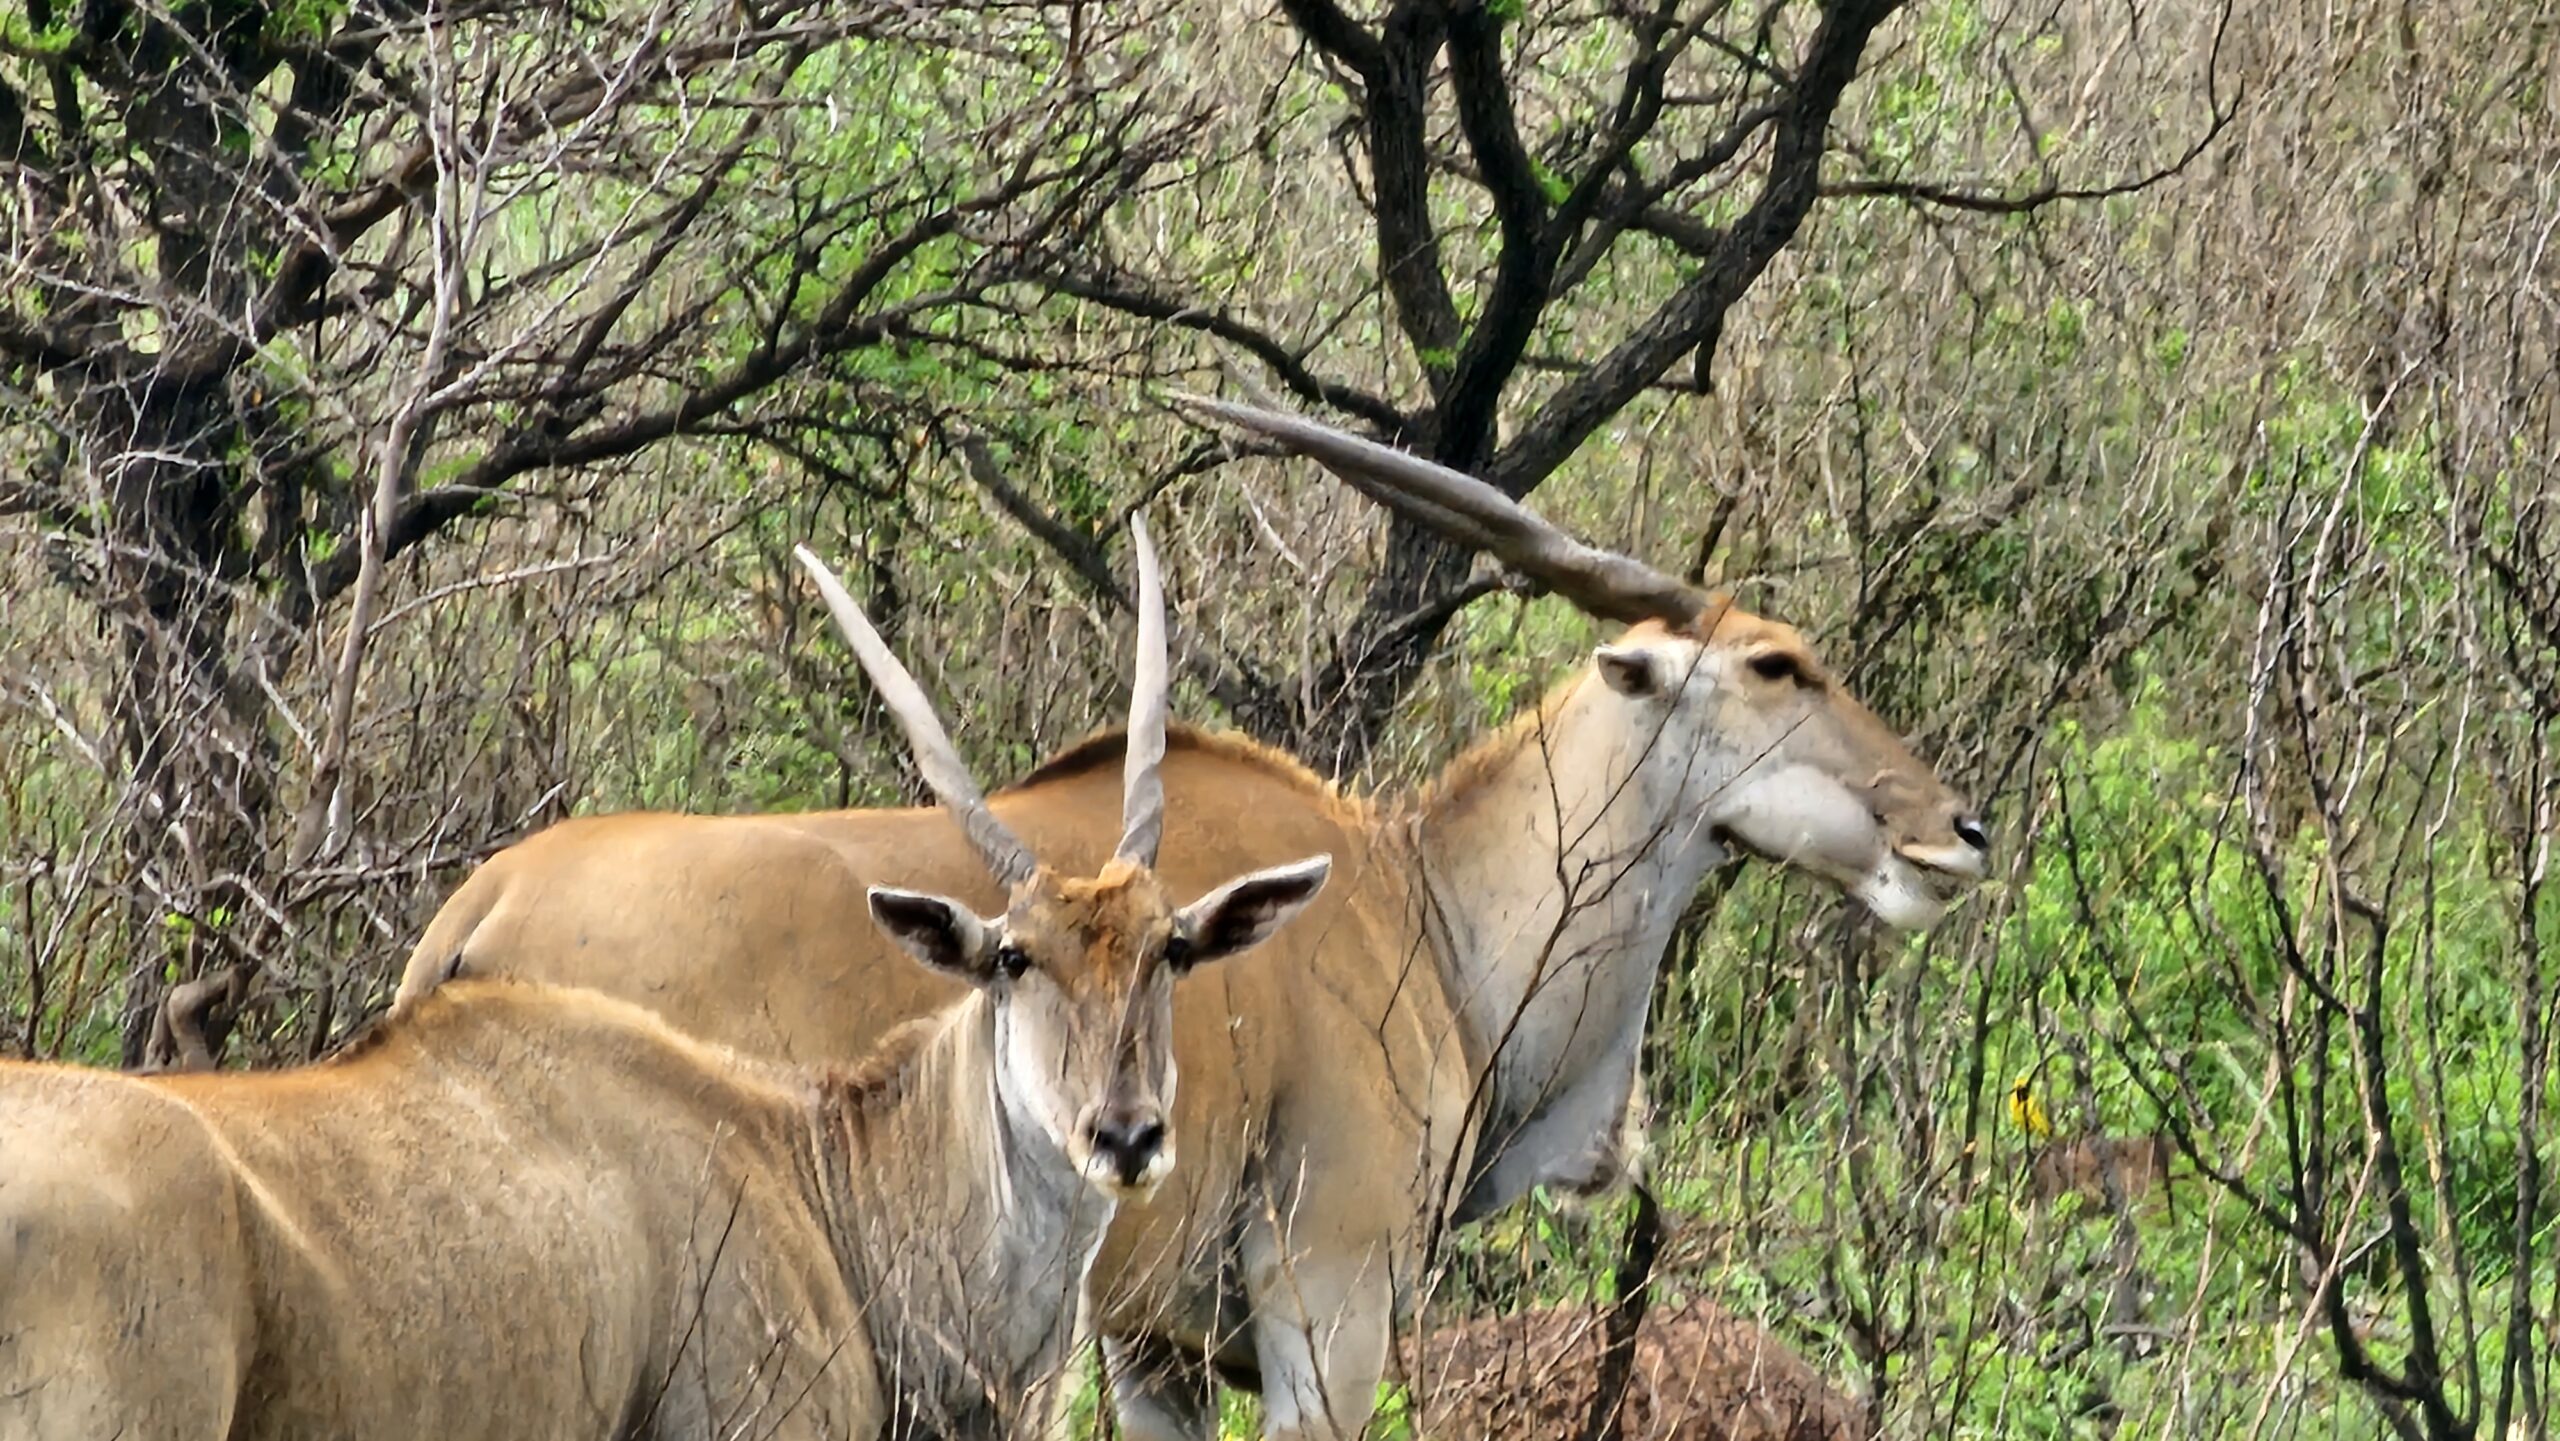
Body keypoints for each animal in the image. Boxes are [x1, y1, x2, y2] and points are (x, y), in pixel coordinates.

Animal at [397, 399, 1991, 1441]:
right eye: (1781, 665)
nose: (1956, 830)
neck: (1417, 902)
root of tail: (482, 901)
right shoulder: (1327, 1312)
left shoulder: (1150, 1349)